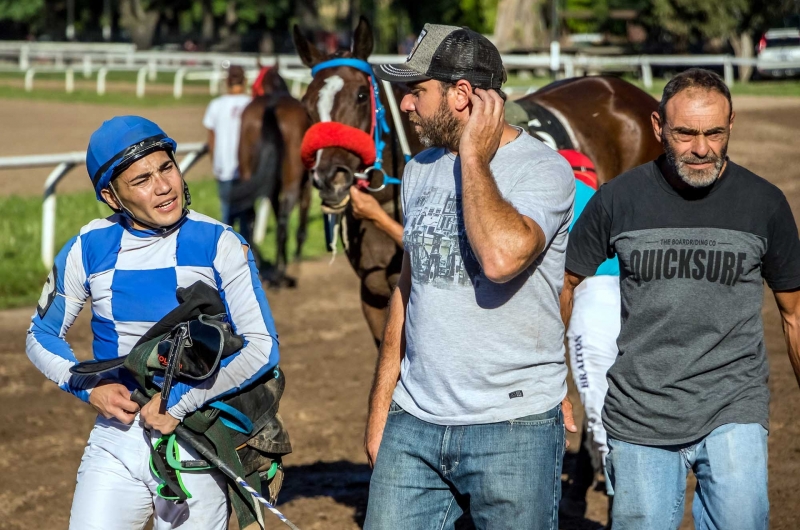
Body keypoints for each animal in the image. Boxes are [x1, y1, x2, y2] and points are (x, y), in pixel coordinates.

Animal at [236, 67, 310, 288]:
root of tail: (271, 107)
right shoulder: (305, 186)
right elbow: (299, 222)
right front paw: (293, 262)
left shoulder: (271, 188)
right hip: (292, 181)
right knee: (284, 220)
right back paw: (279, 273)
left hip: (248, 173)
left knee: (249, 215)